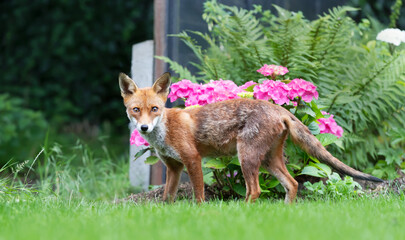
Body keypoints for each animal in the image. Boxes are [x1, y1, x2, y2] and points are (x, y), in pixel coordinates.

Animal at [117, 72, 382, 202]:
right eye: (135, 110)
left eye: (155, 109)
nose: (144, 129)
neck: (166, 130)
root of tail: (278, 108)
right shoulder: (173, 167)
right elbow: (166, 199)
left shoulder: (192, 159)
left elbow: (199, 196)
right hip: (268, 161)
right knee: (292, 184)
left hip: (247, 157)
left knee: (255, 191)